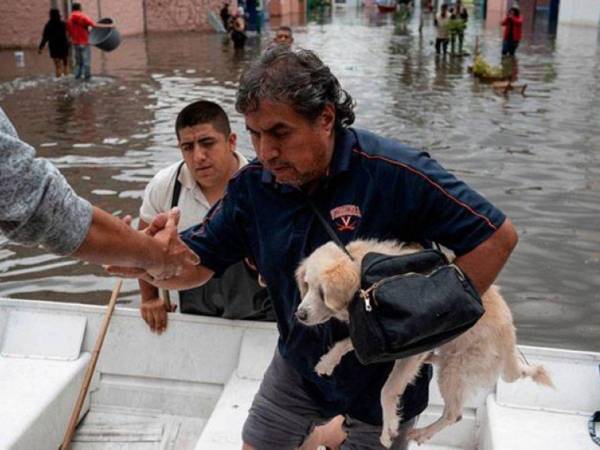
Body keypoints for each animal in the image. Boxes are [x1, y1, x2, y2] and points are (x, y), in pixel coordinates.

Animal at [296, 239, 552, 446]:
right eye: (306, 285)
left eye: (322, 292)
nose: (299, 315)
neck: (364, 282)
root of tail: (510, 338)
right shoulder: (372, 335)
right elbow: (345, 343)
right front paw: (327, 362)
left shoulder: (408, 350)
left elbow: (387, 390)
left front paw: (388, 429)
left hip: (456, 369)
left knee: (454, 413)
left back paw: (422, 433)